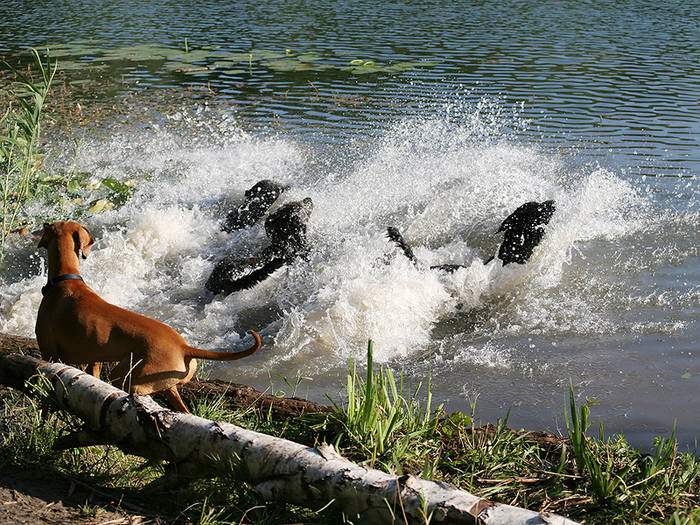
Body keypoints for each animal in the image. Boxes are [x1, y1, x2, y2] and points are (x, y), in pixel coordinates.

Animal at [34, 219, 262, 412]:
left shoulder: (50, 354)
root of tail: (184, 347)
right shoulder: (94, 362)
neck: (66, 279)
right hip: (167, 387)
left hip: (127, 377)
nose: (42, 226)